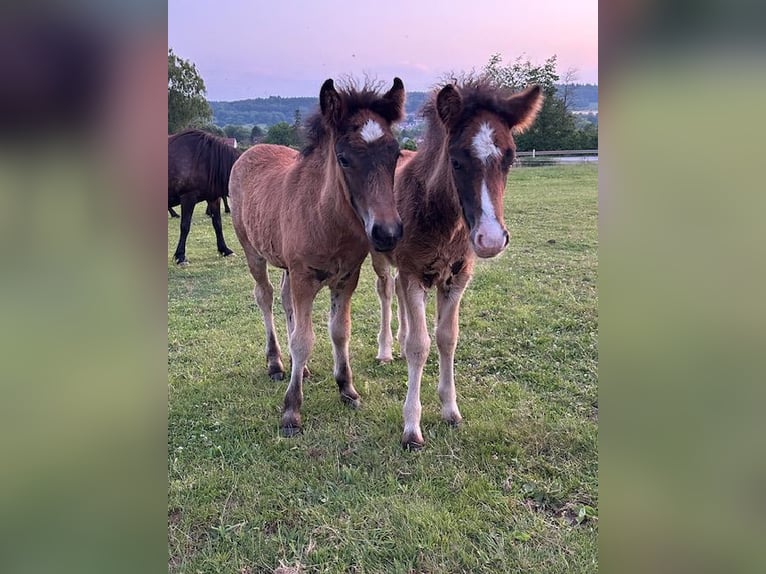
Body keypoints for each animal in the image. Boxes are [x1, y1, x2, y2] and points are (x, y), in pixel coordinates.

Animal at [168, 129, 239, 264]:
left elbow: (218, 224)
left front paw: (225, 250)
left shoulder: (213, 198)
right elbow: (185, 226)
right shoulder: (188, 197)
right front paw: (180, 256)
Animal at [229, 77, 406, 436]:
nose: (388, 233)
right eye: (344, 158)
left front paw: (347, 388)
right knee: (265, 296)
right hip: (254, 252)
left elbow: (339, 331)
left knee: (285, 300)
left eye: (395, 154)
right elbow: (303, 339)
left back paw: (303, 369)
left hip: (285, 264)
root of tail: (248, 152)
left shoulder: (347, 277)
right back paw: (276, 362)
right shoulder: (304, 276)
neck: (327, 218)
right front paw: (291, 410)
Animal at [371, 78, 544, 449]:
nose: (490, 239)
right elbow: (420, 345)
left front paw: (450, 410)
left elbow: (447, 337)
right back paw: (386, 349)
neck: (444, 222)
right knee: (386, 291)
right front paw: (412, 427)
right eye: (456, 160)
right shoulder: (413, 273)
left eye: (510, 158)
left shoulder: (456, 278)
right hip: (381, 257)